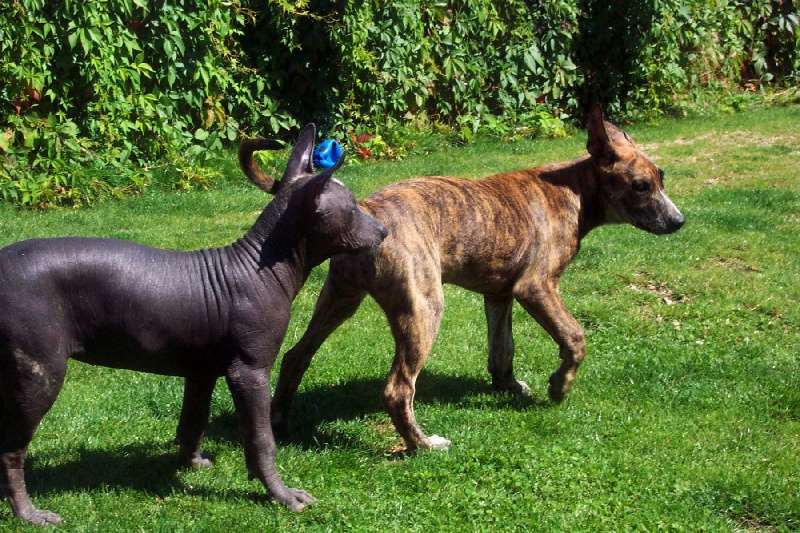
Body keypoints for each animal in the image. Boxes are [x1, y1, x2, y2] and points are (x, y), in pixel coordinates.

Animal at [0, 125, 388, 524]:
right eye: (352, 209)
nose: (384, 231)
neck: (260, 267)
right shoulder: (249, 372)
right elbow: (261, 438)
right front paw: (281, 494)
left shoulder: (201, 372)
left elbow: (194, 420)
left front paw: (191, 463)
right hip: (40, 375)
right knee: (10, 452)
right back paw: (28, 512)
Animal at [252, 104, 688, 448]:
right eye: (640, 186)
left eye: (661, 179)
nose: (679, 222)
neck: (573, 192)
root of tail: (367, 210)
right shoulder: (537, 287)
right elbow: (575, 337)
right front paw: (559, 386)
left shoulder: (500, 294)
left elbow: (503, 349)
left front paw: (508, 387)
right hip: (424, 308)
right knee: (397, 389)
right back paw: (422, 444)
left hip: (340, 298)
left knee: (296, 356)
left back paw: (279, 420)